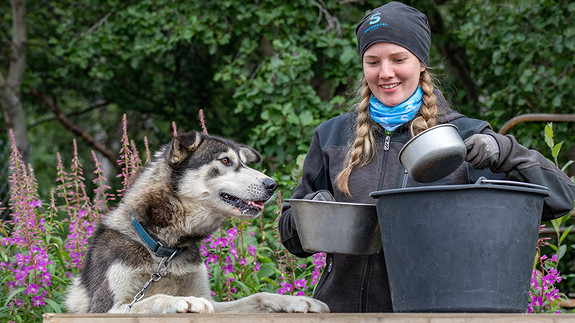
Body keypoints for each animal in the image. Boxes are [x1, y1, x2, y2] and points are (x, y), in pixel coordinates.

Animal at [65, 131, 328, 314]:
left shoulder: (213, 302)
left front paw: (296, 300)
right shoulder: (107, 308)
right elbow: (153, 299)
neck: (164, 249)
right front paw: (184, 300)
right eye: (225, 161)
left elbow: (259, 296)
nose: (272, 185)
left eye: (244, 163)